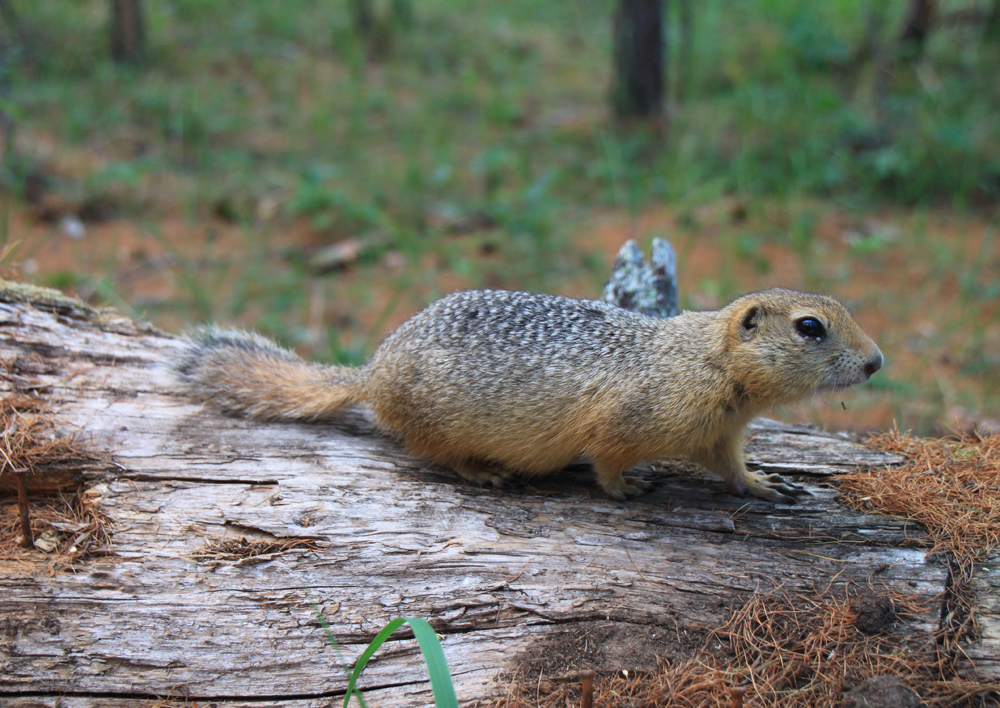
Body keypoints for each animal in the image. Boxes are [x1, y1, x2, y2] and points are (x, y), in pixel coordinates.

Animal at [173, 288, 883, 504]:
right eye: (810, 327)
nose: (877, 362)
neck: (706, 362)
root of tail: (372, 370)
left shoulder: (720, 432)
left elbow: (732, 469)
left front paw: (767, 485)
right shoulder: (633, 417)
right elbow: (607, 457)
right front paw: (624, 487)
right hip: (438, 425)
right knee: (436, 455)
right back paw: (484, 473)